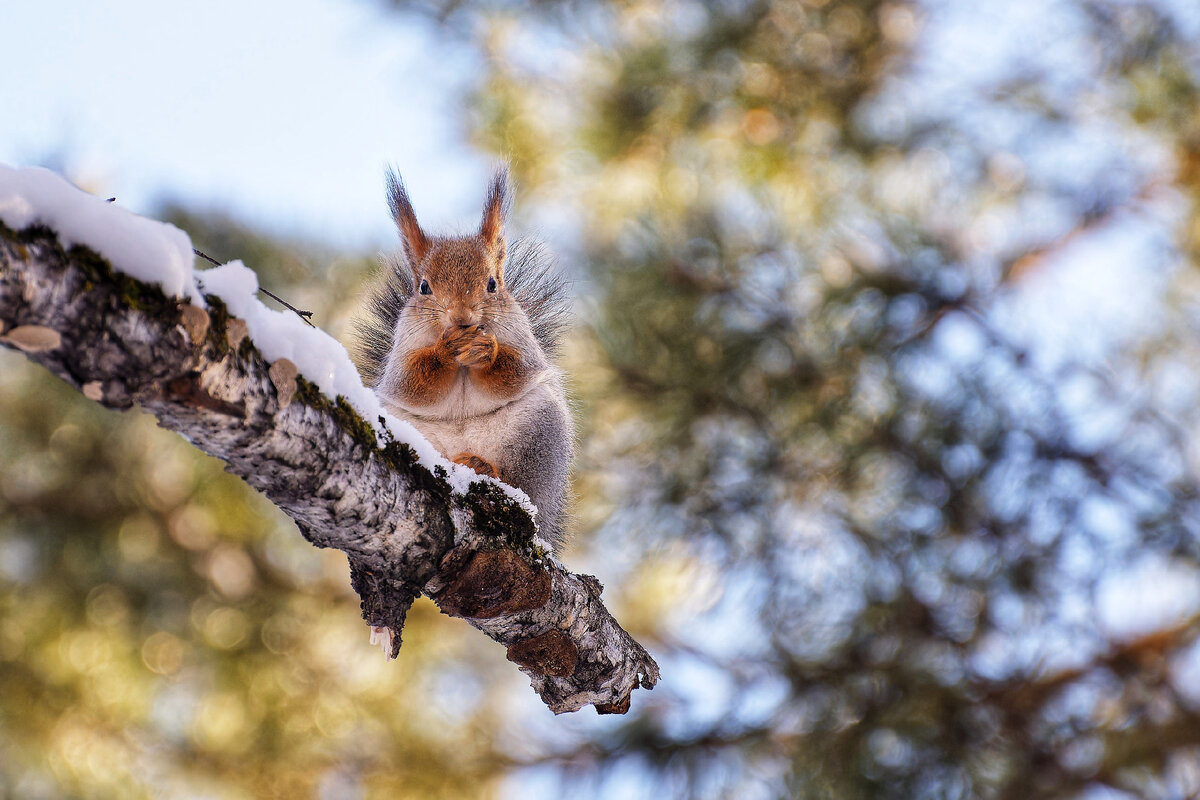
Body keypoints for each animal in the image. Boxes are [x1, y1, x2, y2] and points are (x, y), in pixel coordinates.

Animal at [352, 169, 573, 551]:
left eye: (492, 284)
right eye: (423, 287)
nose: (462, 319)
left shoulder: (522, 343)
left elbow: (513, 371)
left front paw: (488, 352)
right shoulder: (403, 352)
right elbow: (414, 383)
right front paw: (445, 350)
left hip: (537, 438)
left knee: (521, 484)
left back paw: (483, 467)